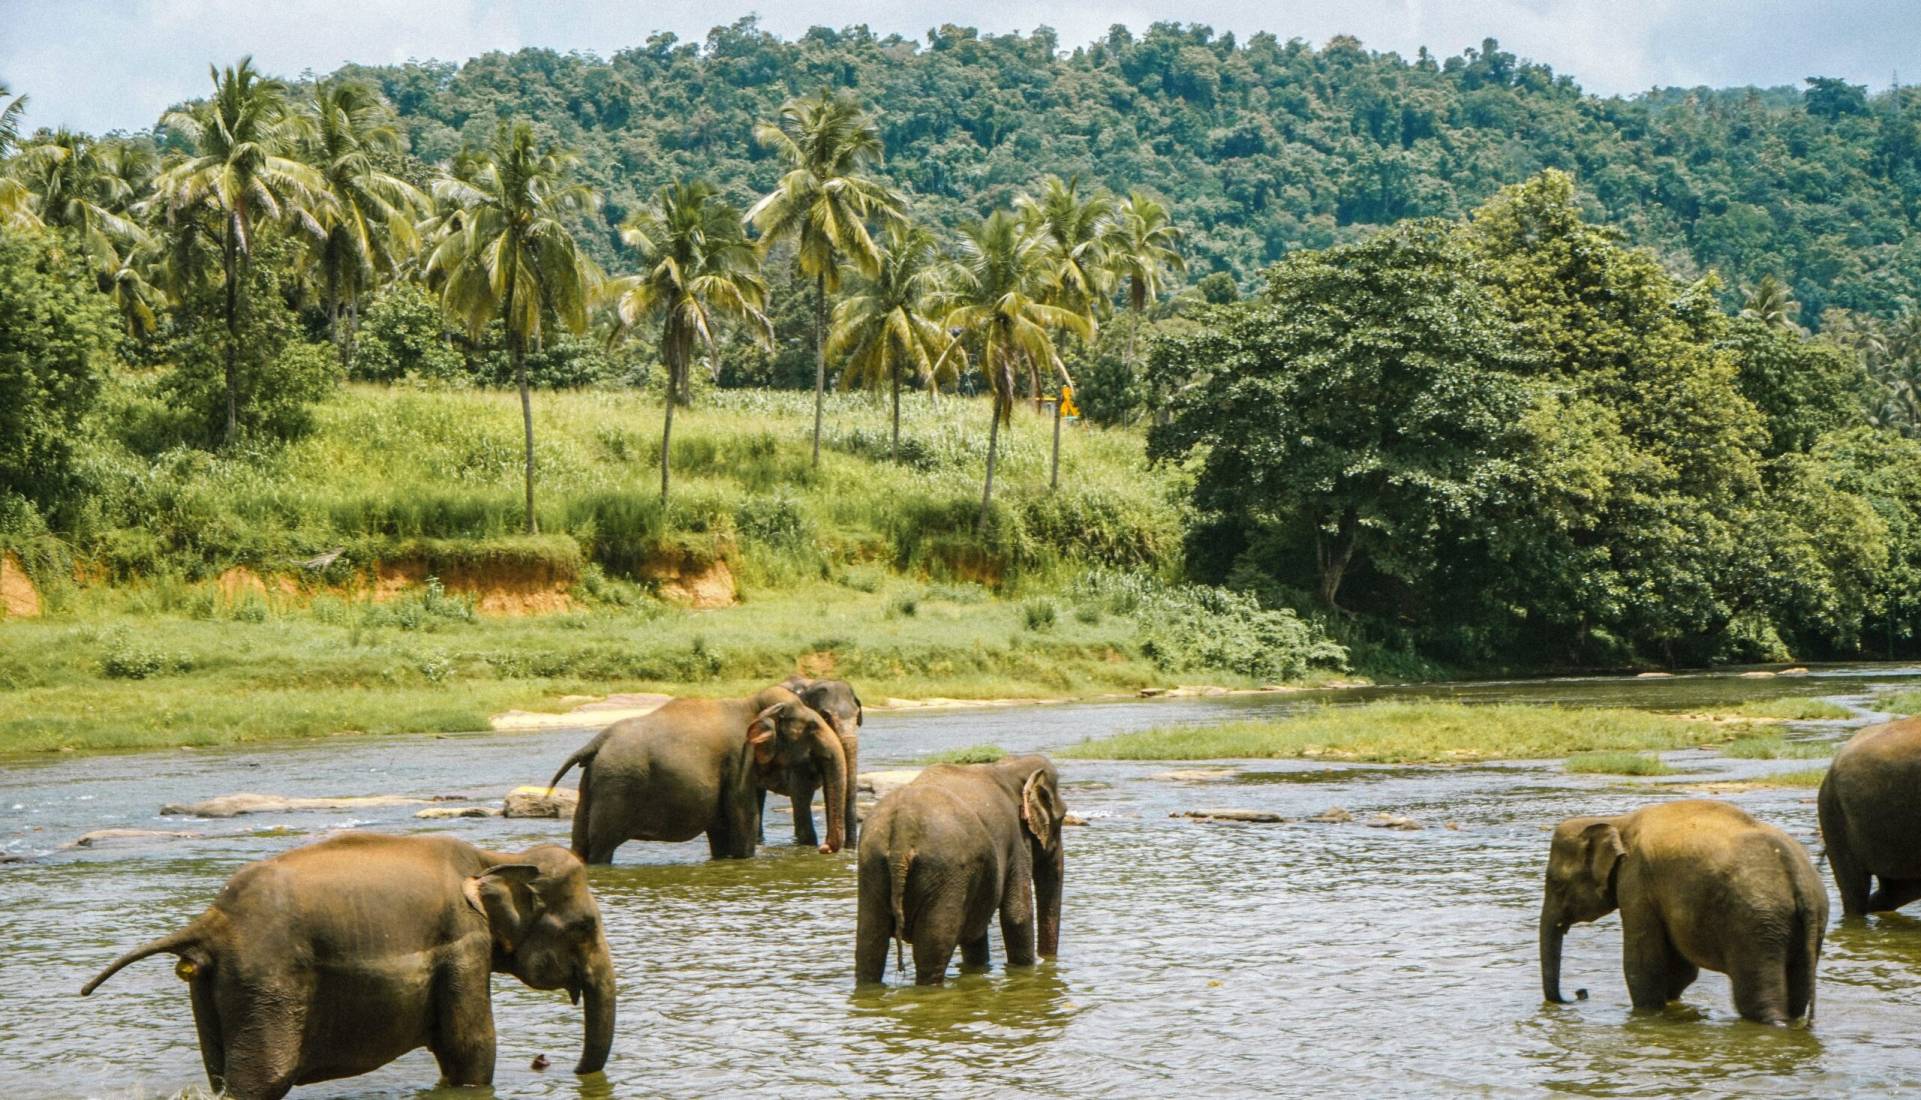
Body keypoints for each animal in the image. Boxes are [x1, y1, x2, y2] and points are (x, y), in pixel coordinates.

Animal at [80, 832, 614, 1100]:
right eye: (585, 926)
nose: (559, 1066)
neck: (494, 856)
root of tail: (211, 921)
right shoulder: (462, 943)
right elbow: (470, 1052)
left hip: (213, 987)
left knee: (222, 1078)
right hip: (267, 982)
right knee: (260, 1081)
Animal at [549, 684, 845, 863]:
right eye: (813, 727)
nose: (825, 849)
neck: (751, 705)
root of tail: (596, 742)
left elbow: (722, 833)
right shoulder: (738, 762)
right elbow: (743, 826)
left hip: (592, 785)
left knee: (581, 844)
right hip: (615, 789)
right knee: (602, 847)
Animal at [855, 754, 1066, 986]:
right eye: (1062, 818)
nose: (1047, 960)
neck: (1008, 765)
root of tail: (902, 830)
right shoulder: (1017, 840)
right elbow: (1017, 915)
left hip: (872, 863)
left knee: (869, 943)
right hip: (945, 873)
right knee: (934, 948)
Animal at [1539, 799, 1826, 1025]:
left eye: (1556, 883)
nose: (1579, 993)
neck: (1617, 821)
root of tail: (1795, 874)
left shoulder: (1636, 882)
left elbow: (1643, 963)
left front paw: (1646, 1015)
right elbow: (1680, 970)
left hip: (1755, 924)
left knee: (1757, 1001)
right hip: (1806, 921)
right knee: (1798, 995)